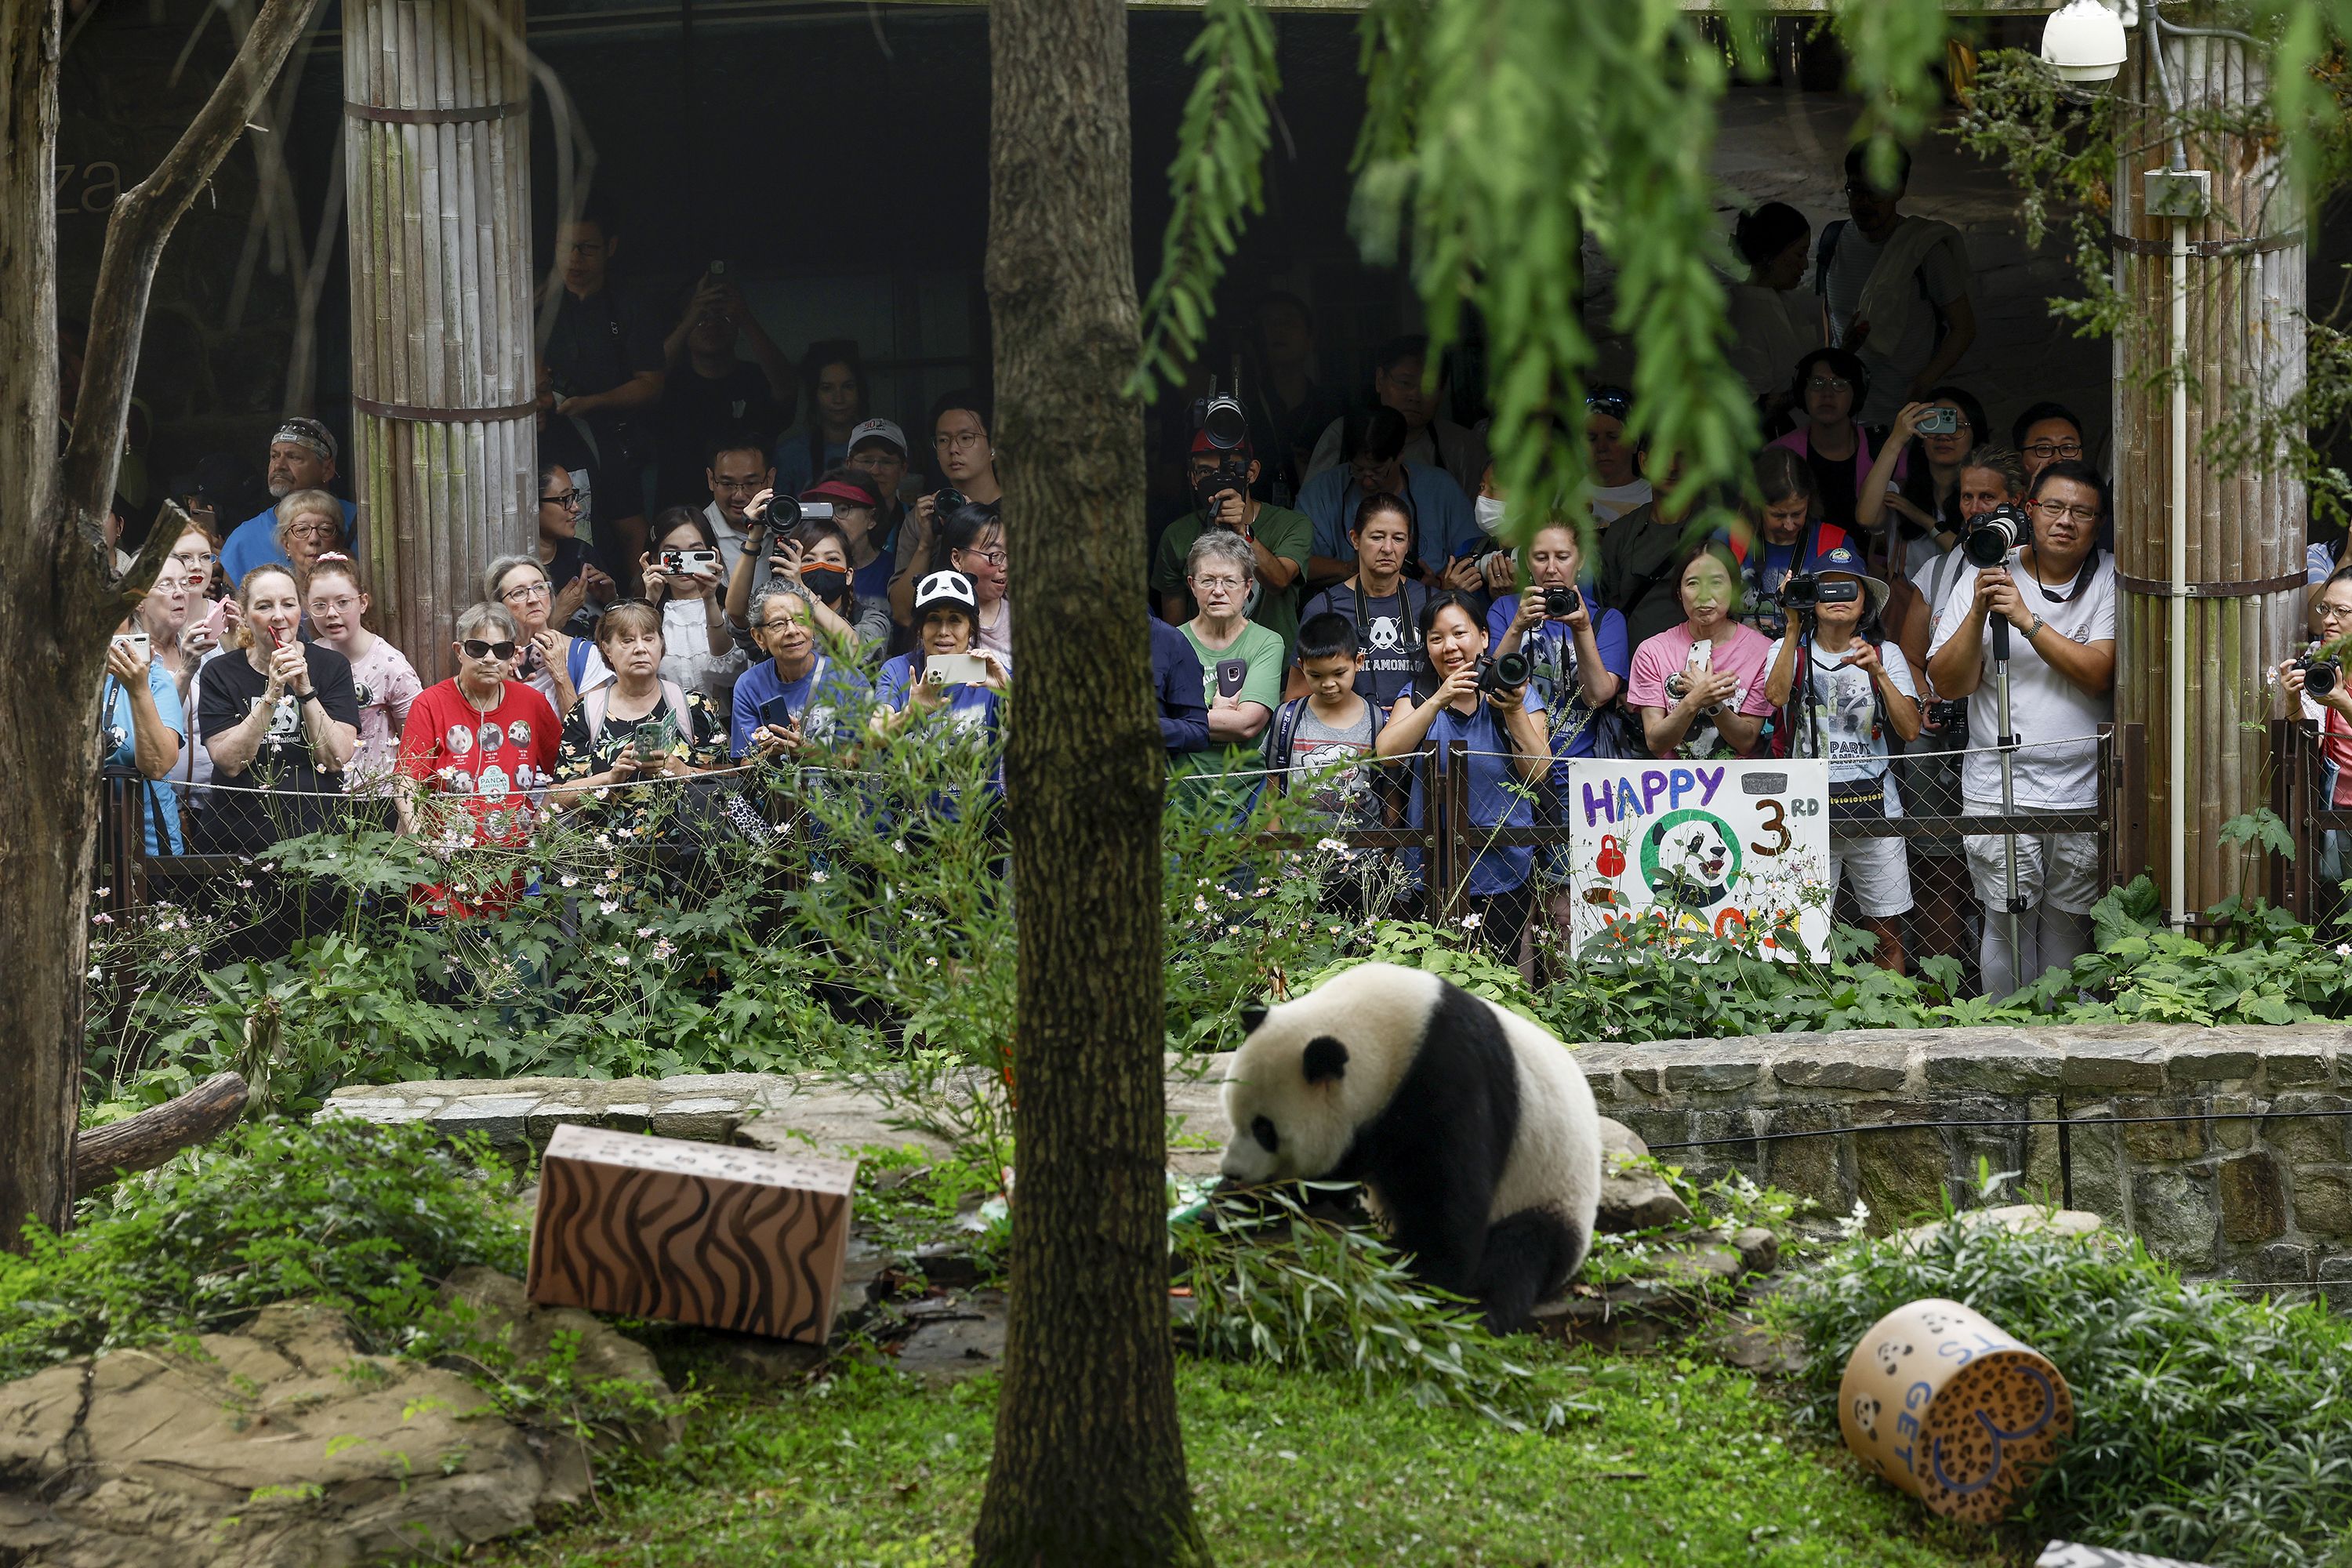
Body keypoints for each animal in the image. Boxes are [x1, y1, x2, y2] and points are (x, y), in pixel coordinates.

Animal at [1223, 959, 1609, 1335]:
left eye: (1265, 1130)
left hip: (1550, 1190)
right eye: (1234, 1116)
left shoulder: (1449, 1077)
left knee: (1519, 1253)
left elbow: (1446, 1198)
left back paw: (1481, 1311)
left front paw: (1426, 1286)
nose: (1233, 1172)